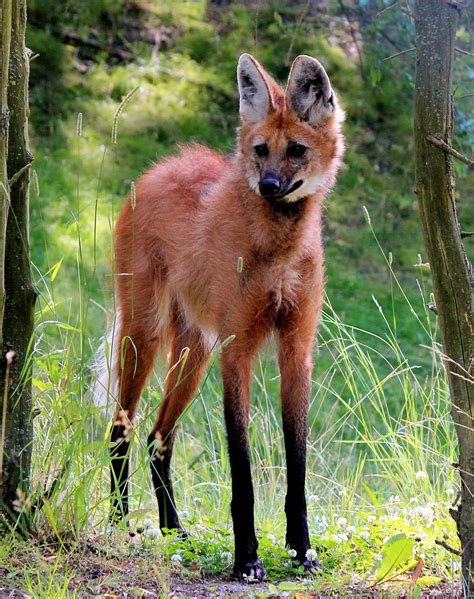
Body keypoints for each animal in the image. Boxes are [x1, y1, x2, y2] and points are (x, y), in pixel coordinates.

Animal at [93, 52, 344, 580]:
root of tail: (159, 167)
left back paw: (173, 530)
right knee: (121, 429)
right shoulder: (238, 351)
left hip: (196, 350)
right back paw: (119, 522)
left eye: (296, 150)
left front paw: (302, 551)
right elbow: (241, 470)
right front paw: (247, 559)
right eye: (260, 150)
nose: (269, 185)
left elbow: (297, 461)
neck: (278, 249)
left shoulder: (296, 350)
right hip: (147, 334)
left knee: (157, 439)